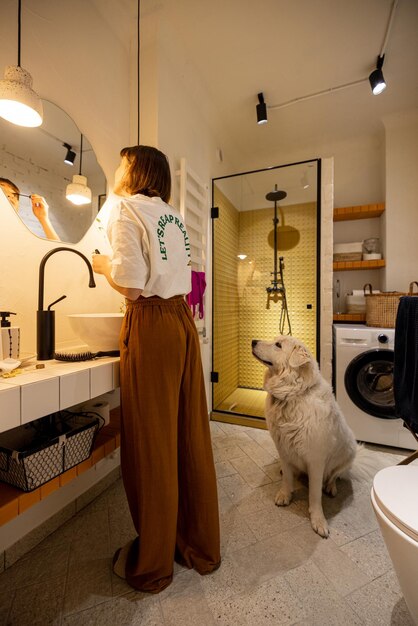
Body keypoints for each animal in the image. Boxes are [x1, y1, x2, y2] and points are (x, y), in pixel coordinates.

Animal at [250, 334, 358, 532]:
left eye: (278, 345)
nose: (253, 341)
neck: (293, 395)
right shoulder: (283, 448)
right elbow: (287, 479)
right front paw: (285, 495)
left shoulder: (316, 461)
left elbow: (314, 495)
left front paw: (318, 521)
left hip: (349, 453)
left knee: (335, 475)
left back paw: (331, 488)